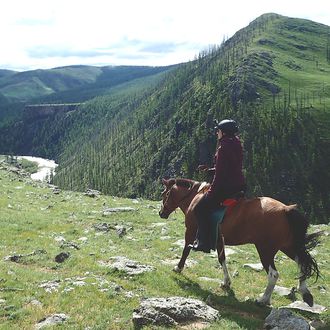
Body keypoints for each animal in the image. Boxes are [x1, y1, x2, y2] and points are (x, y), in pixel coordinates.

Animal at [159, 178, 320, 306]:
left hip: (265, 250)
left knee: (274, 274)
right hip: (287, 246)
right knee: (302, 263)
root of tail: (286, 210)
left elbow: (186, 250)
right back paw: (305, 293)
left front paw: (178, 268)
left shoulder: (191, 231)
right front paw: (226, 282)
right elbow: (222, 258)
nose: (161, 213)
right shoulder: (219, 239)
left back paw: (263, 300)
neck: (195, 197)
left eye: (164, 194)